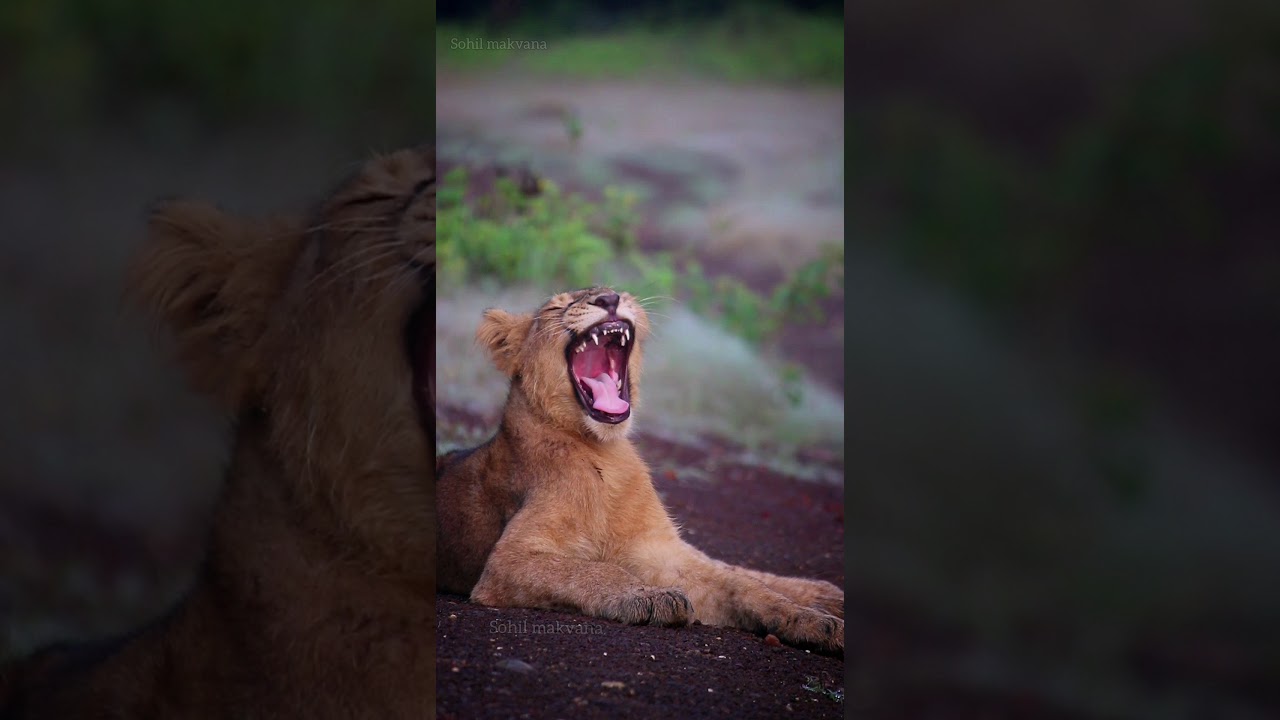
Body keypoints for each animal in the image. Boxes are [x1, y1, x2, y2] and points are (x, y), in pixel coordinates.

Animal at [436, 287, 844, 654]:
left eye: (611, 291)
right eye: (557, 307)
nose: (609, 298)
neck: (606, 454)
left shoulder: (661, 551)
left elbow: (742, 584)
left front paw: (816, 622)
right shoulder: (507, 561)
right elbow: (595, 570)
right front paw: (652, 597)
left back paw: (828, 596)